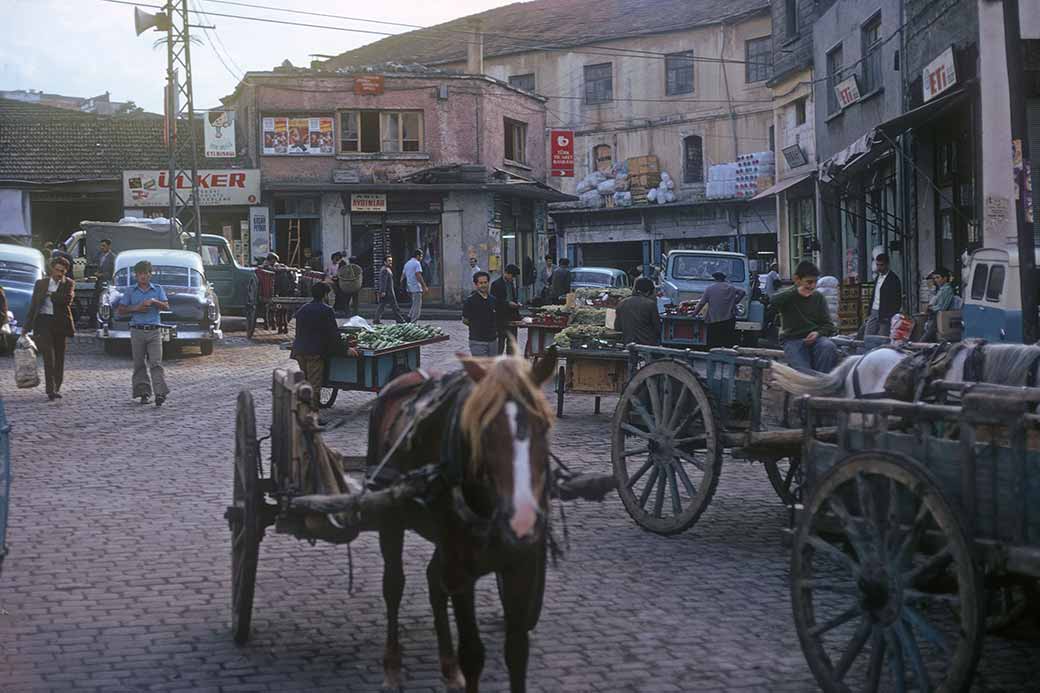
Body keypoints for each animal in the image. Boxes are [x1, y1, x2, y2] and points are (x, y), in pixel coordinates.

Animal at [368, 351, 557, 690]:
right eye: (484, 429)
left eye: (544, 425)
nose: (522, 518)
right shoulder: (461, 570)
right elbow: (472, 655)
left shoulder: (522, 567)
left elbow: (517, 652)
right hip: (390, 521)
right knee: (393, 584)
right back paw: (392, 666)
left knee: (433, 581)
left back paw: (447, 665)